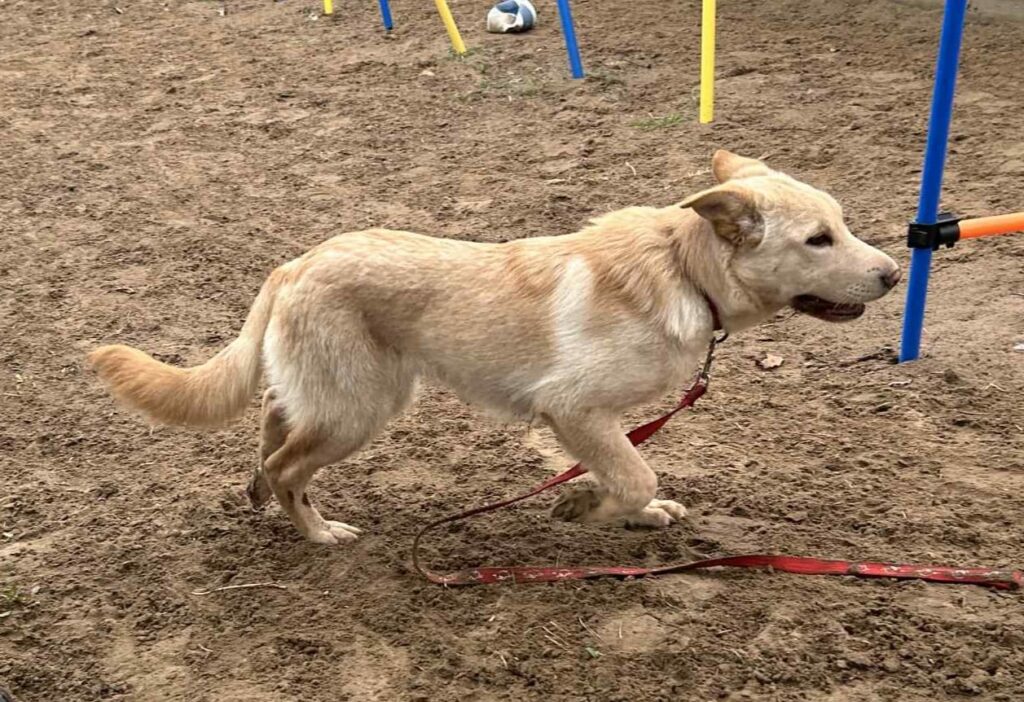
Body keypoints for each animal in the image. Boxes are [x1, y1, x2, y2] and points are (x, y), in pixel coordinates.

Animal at [89, 151, 900, 545]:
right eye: (818, 240)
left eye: (842, 225)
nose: (894, 273)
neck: (684, 268)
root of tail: (294, 264)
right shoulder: (574, 411)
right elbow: (634, 472)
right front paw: (590, 511)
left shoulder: (598, 423)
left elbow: (631, 472)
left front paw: (628, 513)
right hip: (363, 408)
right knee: (289, 463)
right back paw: (319, 532)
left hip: (337, 394)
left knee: (269, 426)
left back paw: (263, 493)